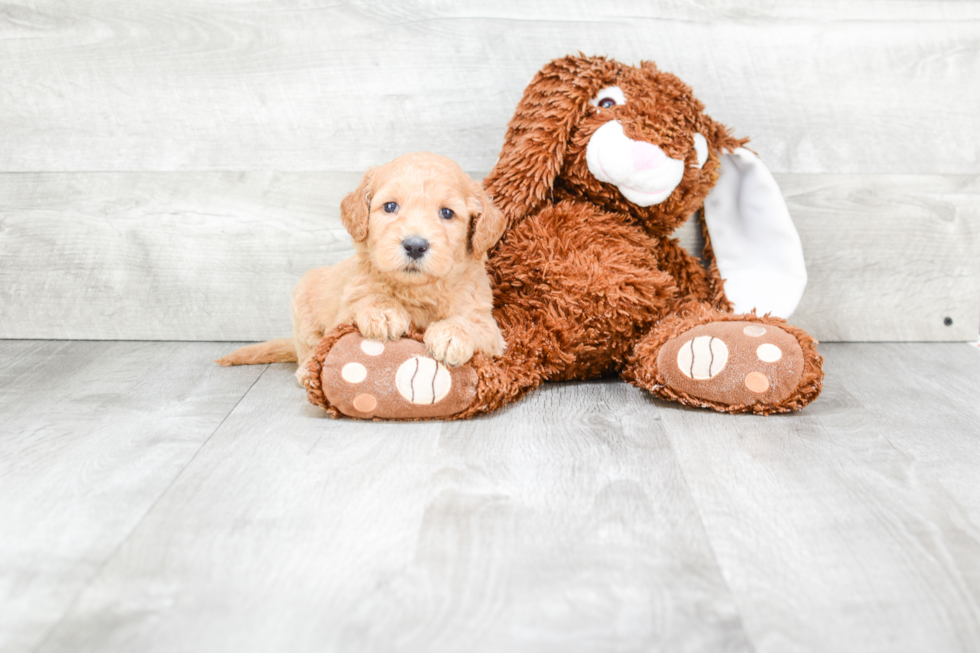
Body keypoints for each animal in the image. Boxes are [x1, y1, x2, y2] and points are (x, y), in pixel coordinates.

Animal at [214, 152, 506, 376]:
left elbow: (472, 324)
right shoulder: (348, 305)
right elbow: (366, 299)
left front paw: (450, 335)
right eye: (390, 207)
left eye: (447, 213)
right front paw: (384, 312)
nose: (414, 245)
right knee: (309, 349)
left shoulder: (488, 324)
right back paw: (308, 369)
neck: (418, 290)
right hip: (303, 304)